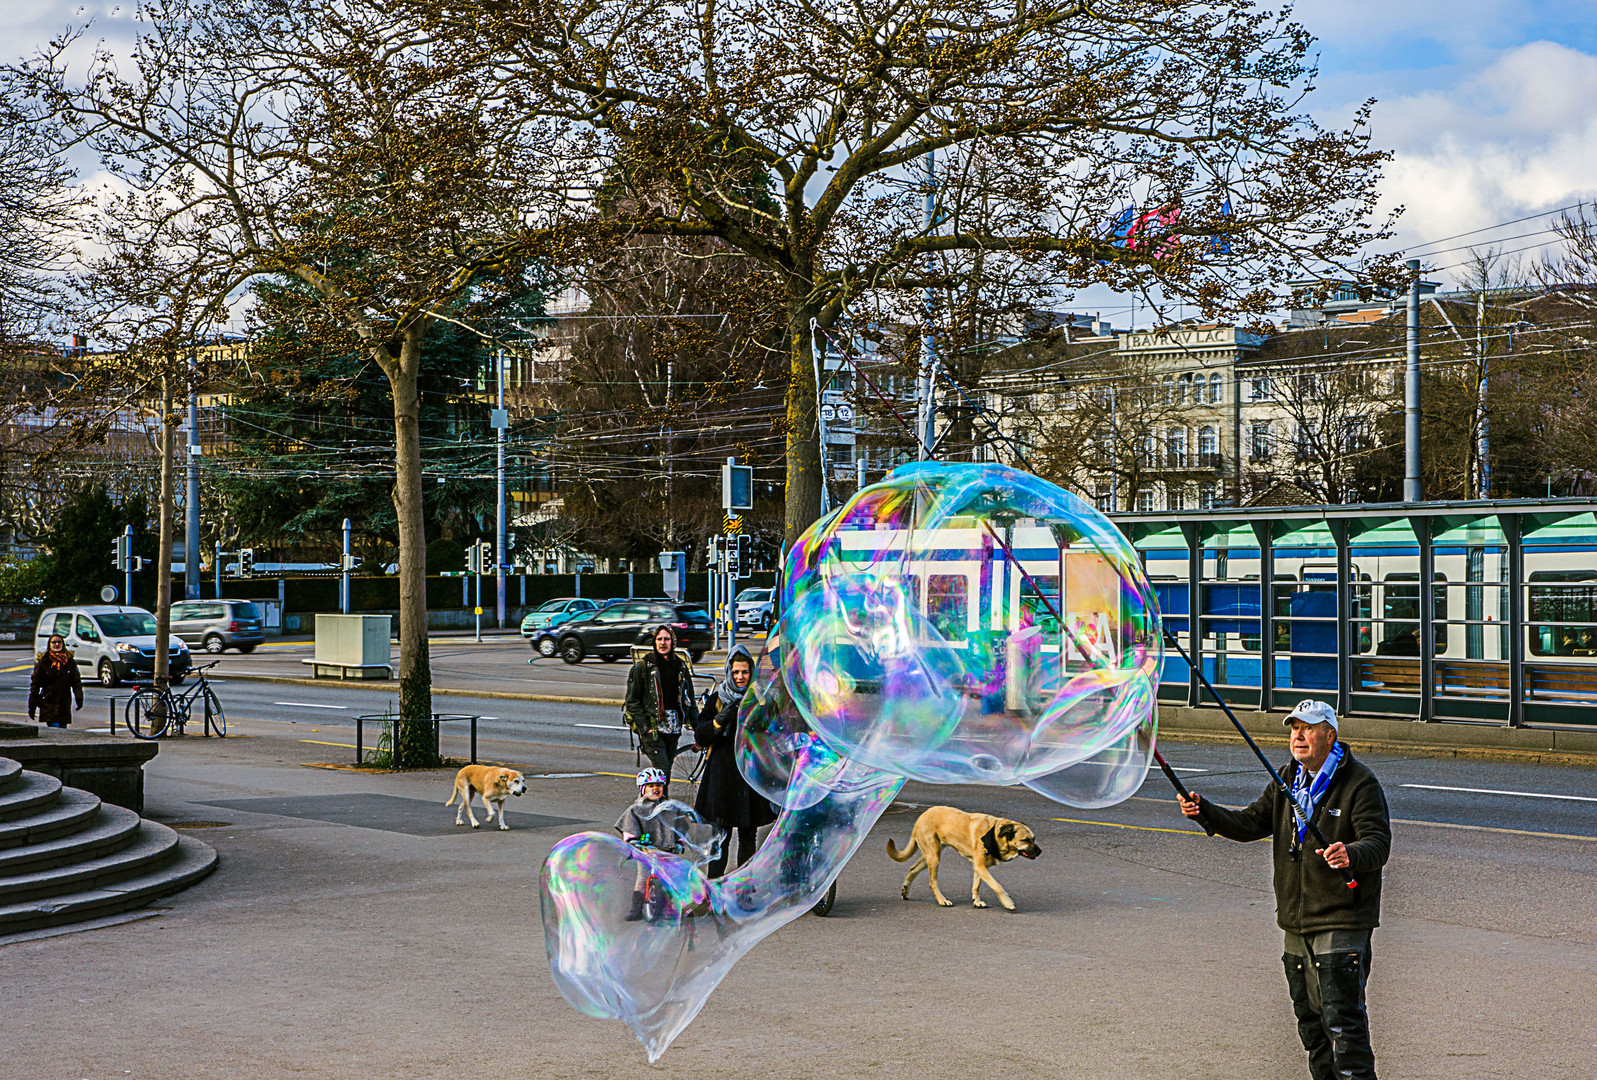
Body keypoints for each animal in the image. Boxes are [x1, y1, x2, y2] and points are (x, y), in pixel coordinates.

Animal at [887, 805, 1047, 907]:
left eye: (1034, 839)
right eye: (1025, 840)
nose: (1040, 852)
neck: (994, 835)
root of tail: (920, 817)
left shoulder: (979, 867)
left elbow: (976, 886)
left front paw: (976, 901)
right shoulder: (981, 867)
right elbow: (997, 886)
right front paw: (1007, 902)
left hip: (928, 856)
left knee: (912, 869)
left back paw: (905, 890)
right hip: (934, 857)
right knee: (933, 882)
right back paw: (942, 900)